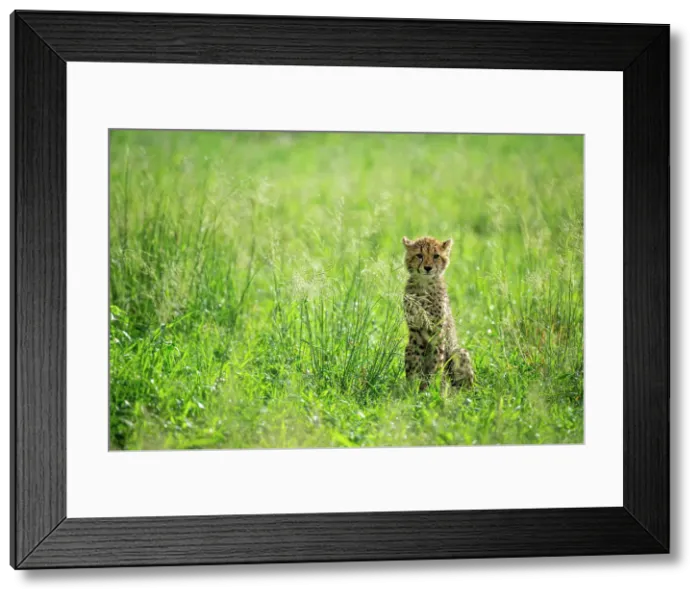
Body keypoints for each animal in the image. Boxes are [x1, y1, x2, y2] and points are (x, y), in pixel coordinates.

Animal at [401, 235, 475, 392]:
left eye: (436, 256)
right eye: (419, 255)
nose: (428, 268)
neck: (424, 285)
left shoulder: (438, 332)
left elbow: (436, 363)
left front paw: (432, 388)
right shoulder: (415, 331)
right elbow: (416, 362)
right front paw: (414, 388)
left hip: (458, 352)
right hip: (408, 347)